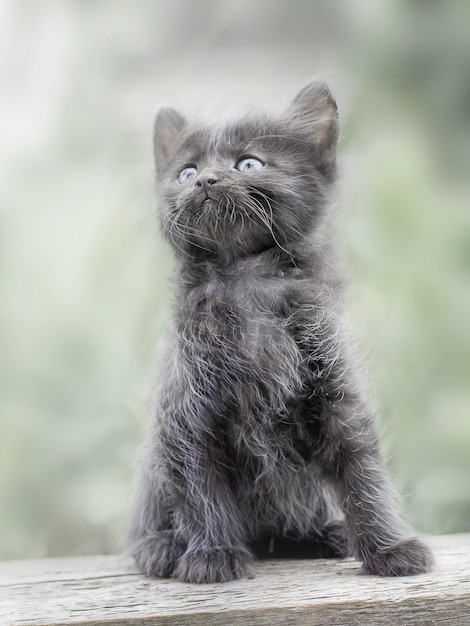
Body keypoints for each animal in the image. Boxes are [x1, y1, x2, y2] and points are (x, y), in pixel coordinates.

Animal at [129, 81, 434, 580]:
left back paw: (327, 534)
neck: (247, 282)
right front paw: (213, 554)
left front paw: (389, 549)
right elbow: (200, 487)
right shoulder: (187, 414)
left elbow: (363, 475)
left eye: (248, 163)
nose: (204, 180)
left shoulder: (337, 396)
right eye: (186, 171)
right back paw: (163, 547)